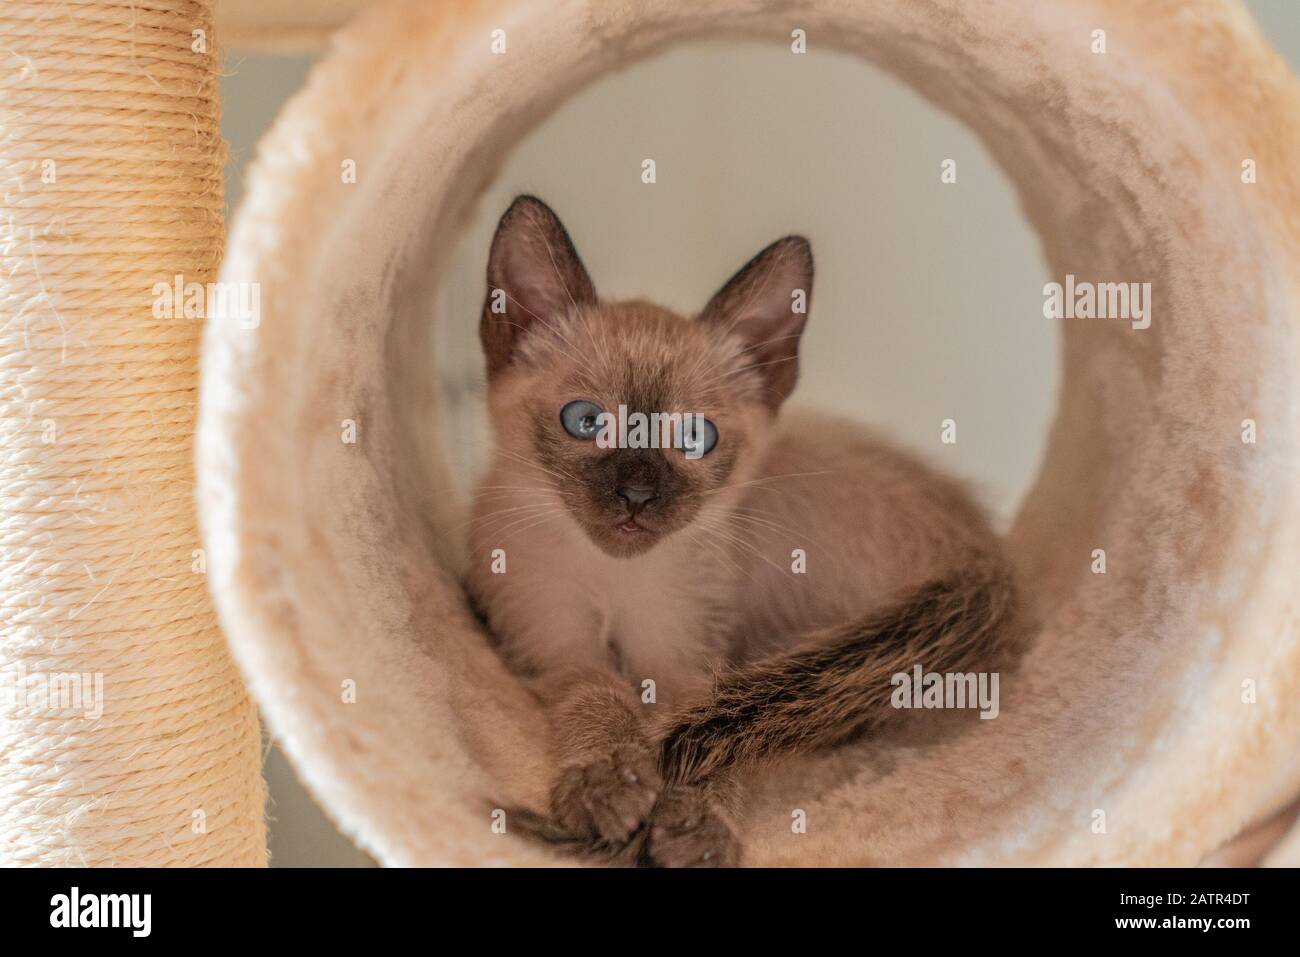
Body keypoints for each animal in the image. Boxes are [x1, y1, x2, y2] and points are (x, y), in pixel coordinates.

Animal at [467, 195, 1013, 868]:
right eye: (585, 421)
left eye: (694, 437)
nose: (636, 498)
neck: (616, 577)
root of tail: (981, 555)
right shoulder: (554, 641)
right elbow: (598, 692)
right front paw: (609, 786)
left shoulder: (688, 662)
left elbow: (706, 727)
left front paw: (697, 825)